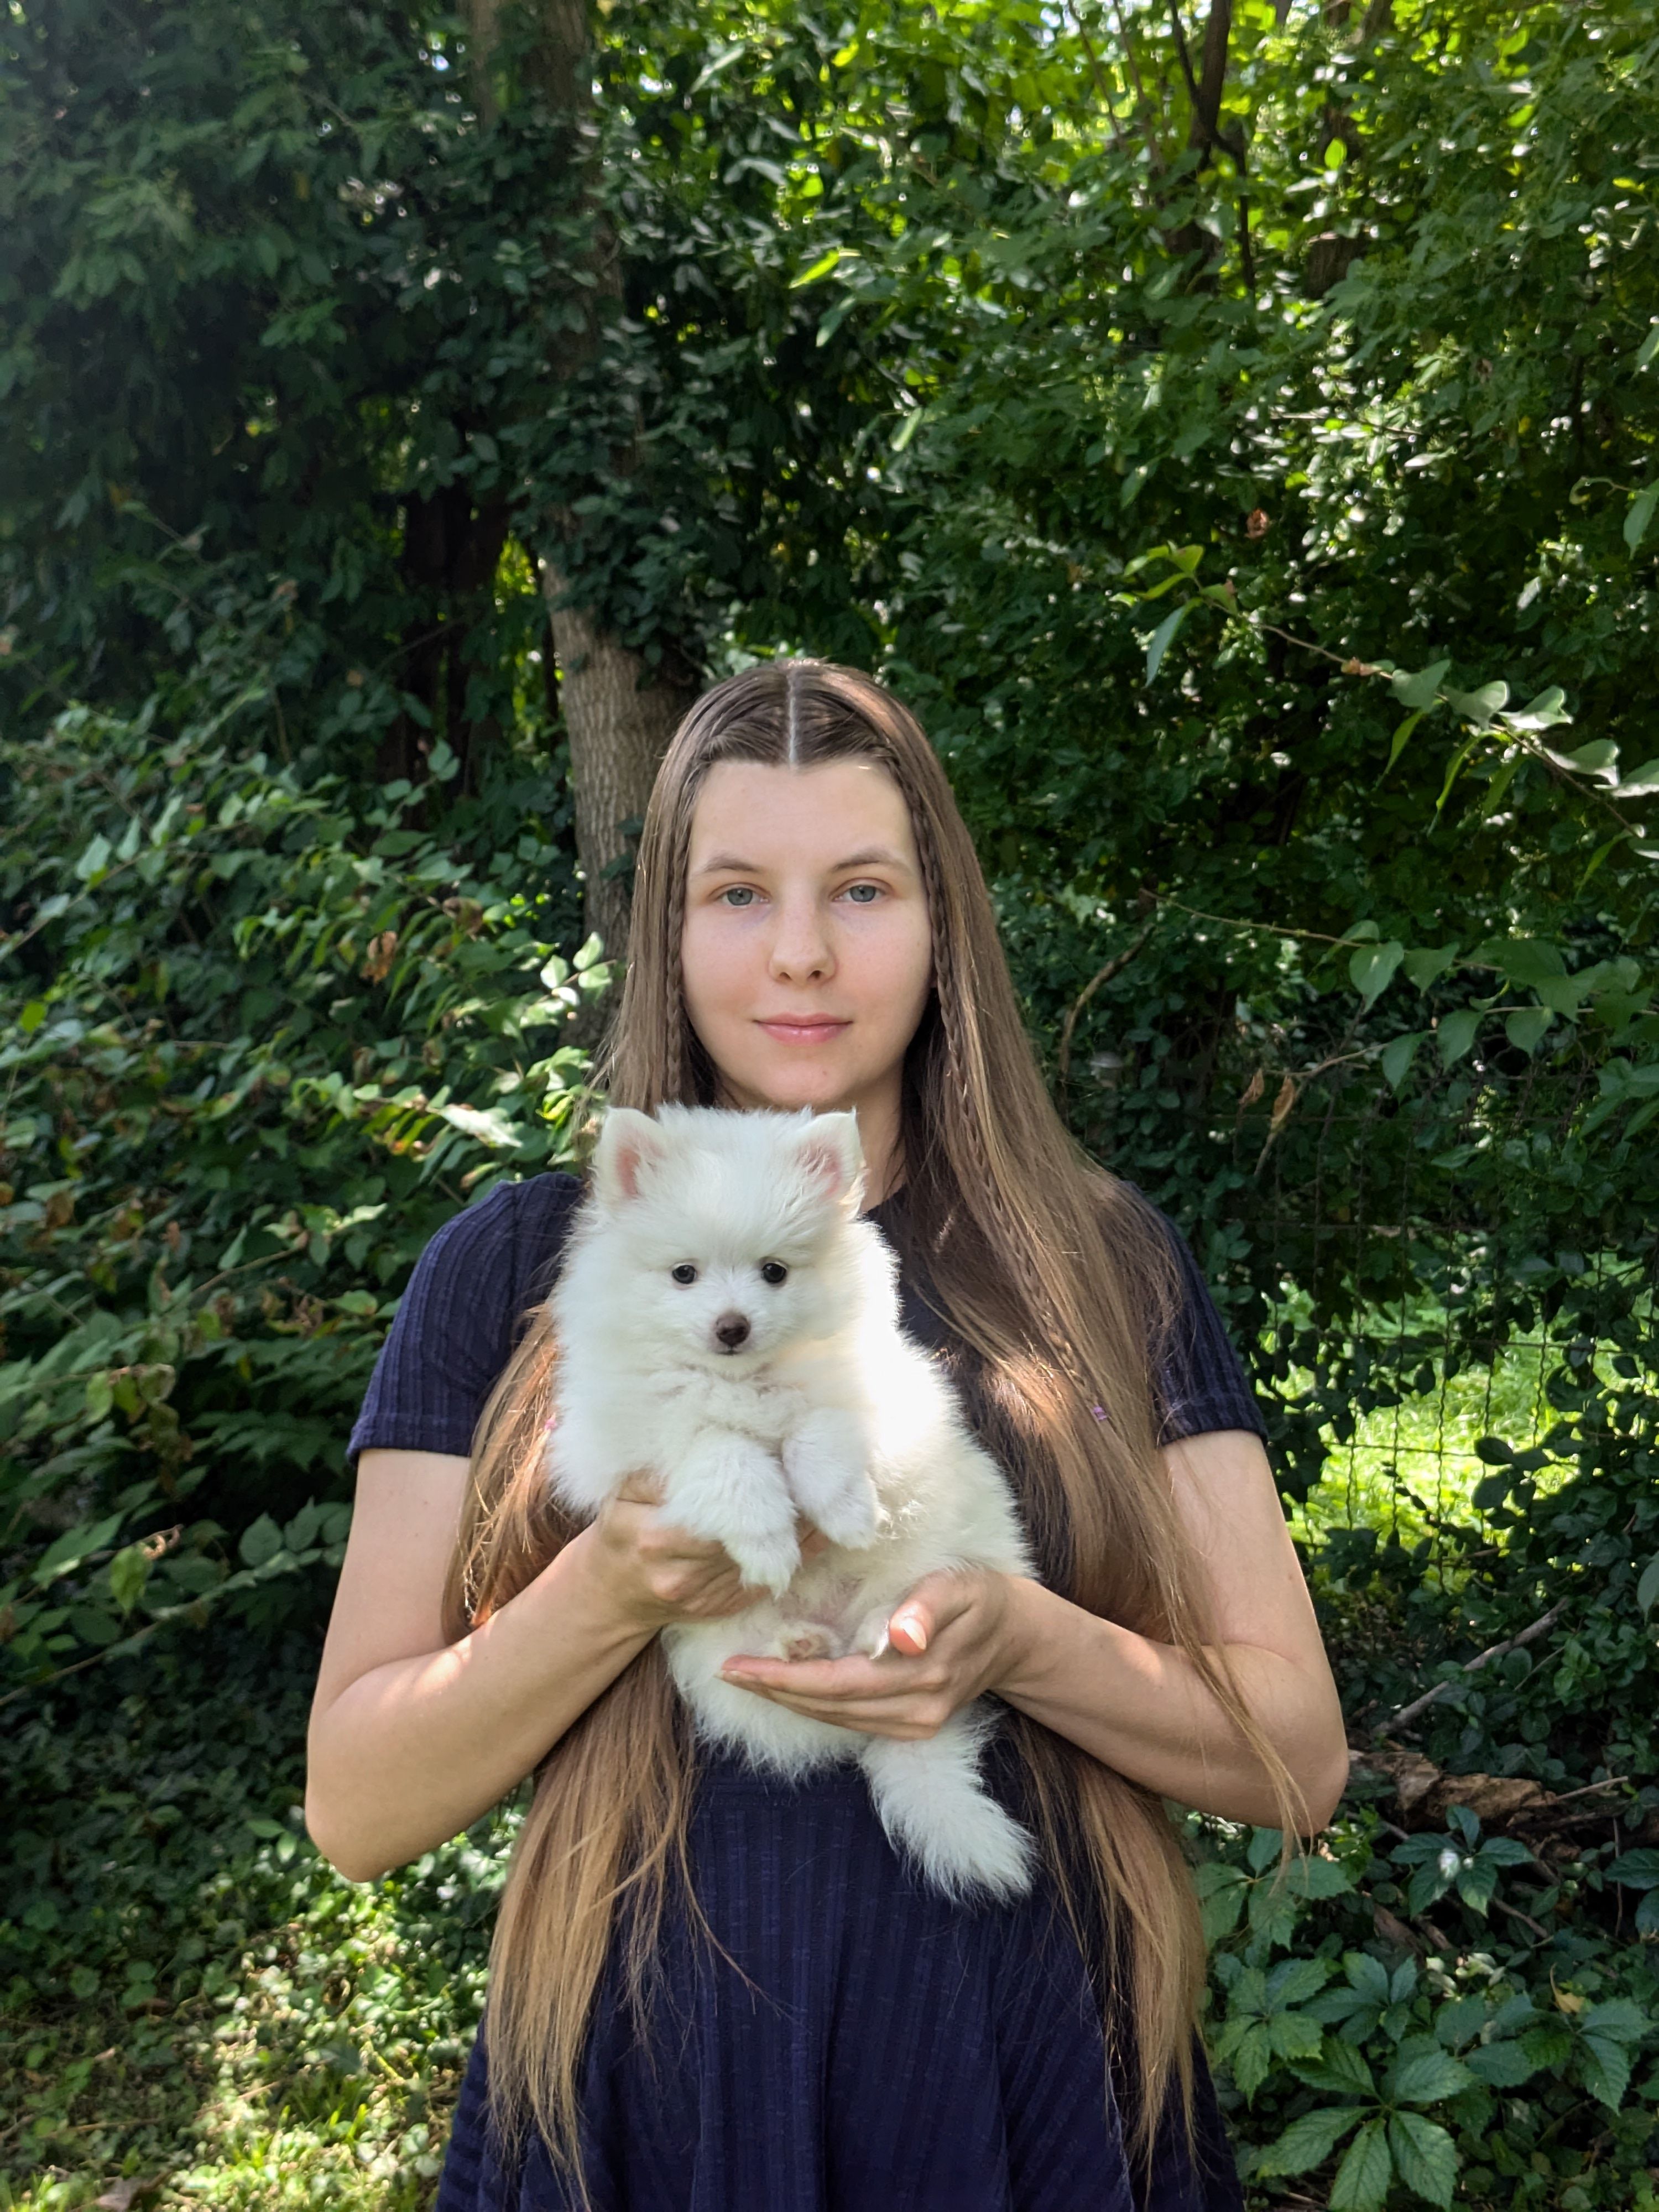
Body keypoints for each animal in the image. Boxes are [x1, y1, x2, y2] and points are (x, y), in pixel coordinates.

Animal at [546, 1103, 1037, 1903]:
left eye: (775, 1271)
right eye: (683, 1273)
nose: (732, 1325)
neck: (741, 1378)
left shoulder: (866, 1394)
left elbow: (820, 1430)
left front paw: (843, 1512)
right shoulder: (621, 1441)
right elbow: (718, 1446)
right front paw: (769, 1538)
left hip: (938, 1555)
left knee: (891, 1604)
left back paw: (878, 1630)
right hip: (724, 1648)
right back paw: (802, 1644)